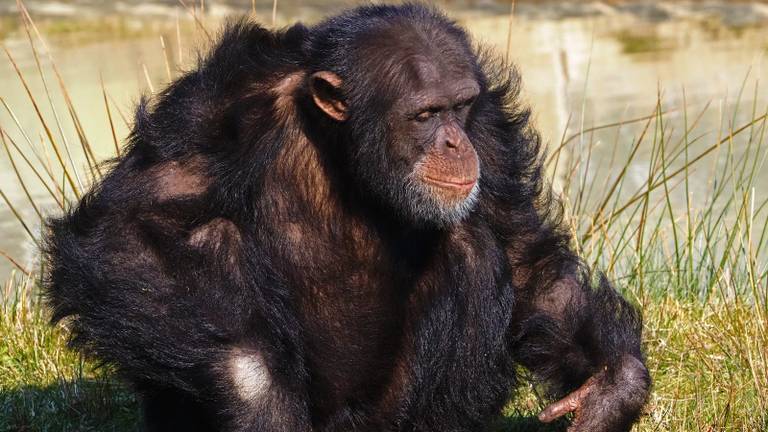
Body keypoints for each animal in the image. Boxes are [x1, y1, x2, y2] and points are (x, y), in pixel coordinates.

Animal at [45, 4, 652, 432]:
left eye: (458, 107)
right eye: (425, 114)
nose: (455, 143)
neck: (343, 144)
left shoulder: (489, 123)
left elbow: (521, 247)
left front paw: (612, 386)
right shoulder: (209, 111)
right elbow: (127, 230)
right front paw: (251, 387)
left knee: (473, 244)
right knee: (209, 241)